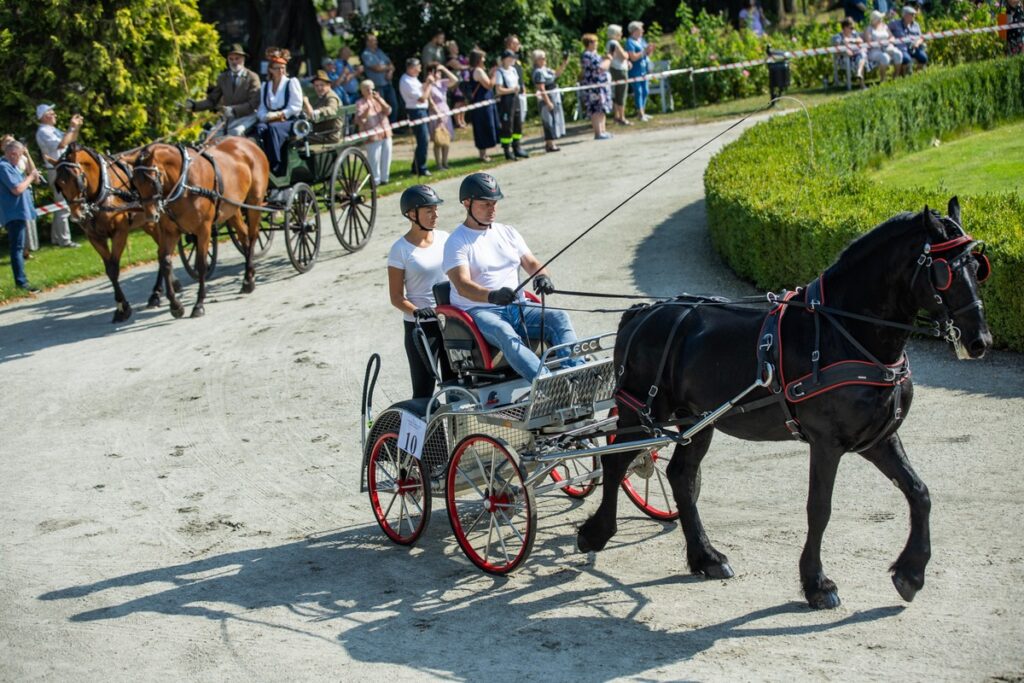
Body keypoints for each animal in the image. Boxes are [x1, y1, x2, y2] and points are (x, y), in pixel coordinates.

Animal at [53, 142, 178, 323]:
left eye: (78, 179)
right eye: (59, 184)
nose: (77, 217)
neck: (103, 192)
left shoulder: (120, 232)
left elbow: (114, 268)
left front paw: (123, 308)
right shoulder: (94, 237)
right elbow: (109, 270)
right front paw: (121, 307)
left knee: (162, 251)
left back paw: (157, 292)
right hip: (149, 223)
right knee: (162, 251)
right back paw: (164, 289)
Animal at [131, 139, 268, 321]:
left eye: (153, 180)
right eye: (135, 183)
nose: (150, 216)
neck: (184, 182)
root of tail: (249, 143)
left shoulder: (203, 229)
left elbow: (202, 264)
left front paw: (199, 304)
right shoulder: (170, 232)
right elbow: (165, 262)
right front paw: (176, 305)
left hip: (254, 202)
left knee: (252, 237)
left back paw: (249, 277)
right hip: (232, 208)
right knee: (244, 236)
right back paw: (248, 279)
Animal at [585, 197, 991, 610]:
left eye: (978, 268)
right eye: (944, 272)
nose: (980, 340)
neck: (842, 331)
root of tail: (640, 312)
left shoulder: (877, 438)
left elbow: (919, 493)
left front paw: (911, 573)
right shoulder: (826, 442)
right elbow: (820, 508)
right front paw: (817, 583)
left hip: (696, 421)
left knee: (680, 476)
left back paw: (706, 557)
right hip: (640, 411)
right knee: (616, 462)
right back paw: (597, 531)